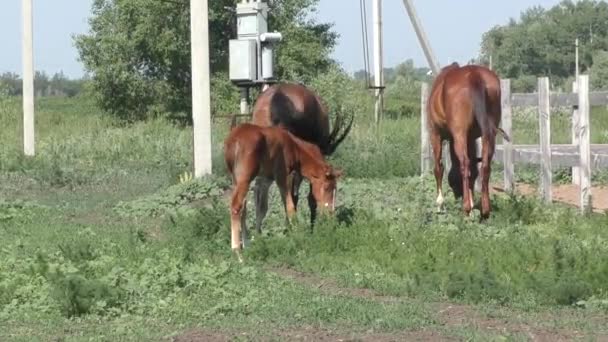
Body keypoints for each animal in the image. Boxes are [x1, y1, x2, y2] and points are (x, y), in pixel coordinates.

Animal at [226, 123, 344, 262]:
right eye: (327, 187)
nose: (330, 213)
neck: (293, 146)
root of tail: (234, 141)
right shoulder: (284, 177)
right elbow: (290, 207)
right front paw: (299, 239)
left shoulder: (265, 180)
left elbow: (262, 209)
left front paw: (257, 238)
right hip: (244, 179)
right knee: (236, 206)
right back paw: (237, 252)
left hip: (235, 179)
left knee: (242, 208)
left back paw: (245, 245)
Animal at [428, 62, 508, 219]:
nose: (458, 195)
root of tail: (474, 76)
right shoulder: (471, 138)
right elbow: (474, 170)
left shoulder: (436, 134)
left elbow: (438, 168)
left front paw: (440, 203)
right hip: (488, 135)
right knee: (485, 166)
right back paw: (485, 209)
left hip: (459, 134)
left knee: (464, 163)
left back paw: (465, 208)